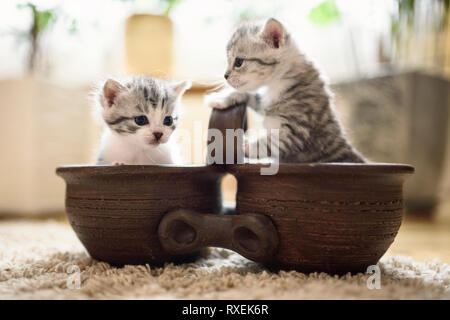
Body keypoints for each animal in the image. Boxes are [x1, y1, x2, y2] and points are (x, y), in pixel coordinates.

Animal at [207, 17, 366, 162]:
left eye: (238, 62)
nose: (225, 76)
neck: (277, 83)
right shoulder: (264, 103)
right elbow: (250, 96)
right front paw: (221, 98)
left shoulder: (296, 130)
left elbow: (270, 144)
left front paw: (245, 146)